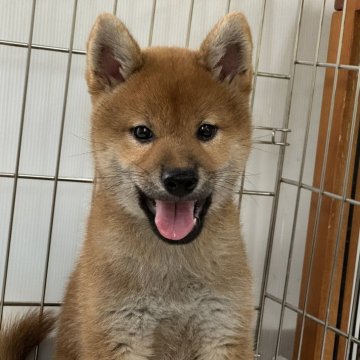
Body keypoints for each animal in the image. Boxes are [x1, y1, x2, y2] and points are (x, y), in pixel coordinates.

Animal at [0, 11, 253, 360]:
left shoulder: (223, 330)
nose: (180, 179)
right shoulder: (119, 333)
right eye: (143, 132)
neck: (171, 265)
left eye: (205, 130)